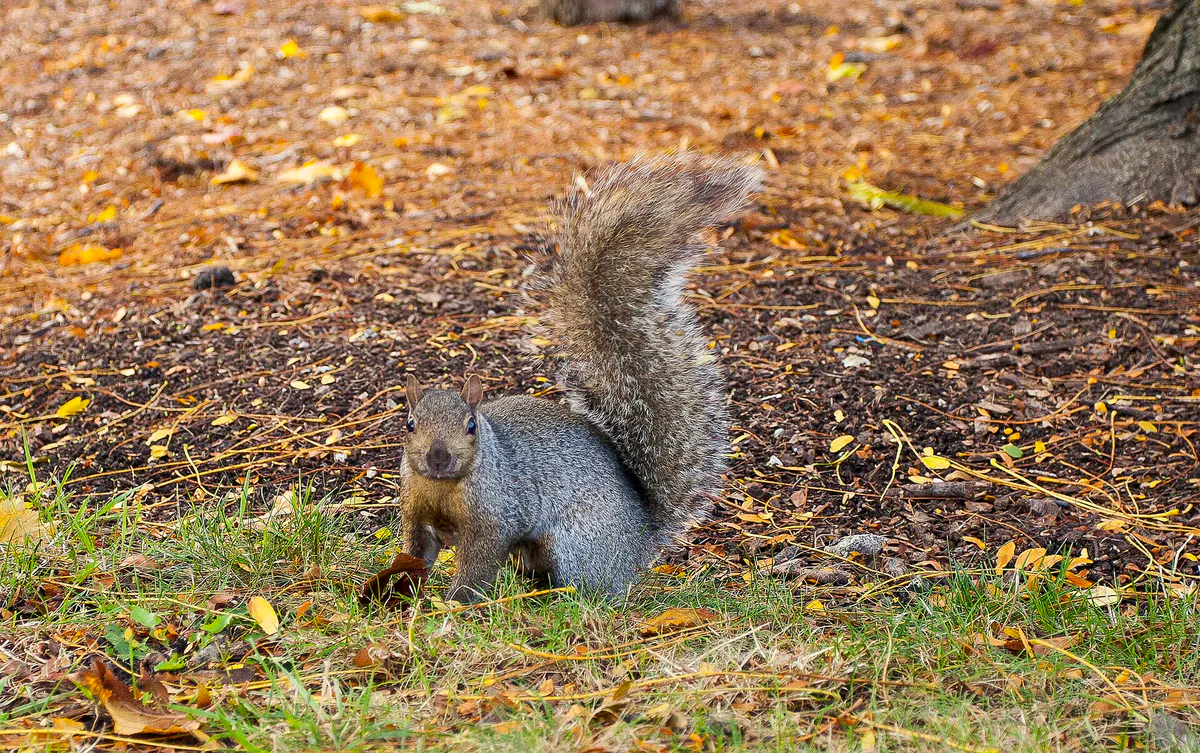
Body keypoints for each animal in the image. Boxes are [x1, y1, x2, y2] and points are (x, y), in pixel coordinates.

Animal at [400, 154, 762, 602]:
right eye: (409, 424)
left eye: (471, 426)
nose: (438, 457)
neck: (442, 486)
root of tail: (640, 541)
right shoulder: (416, 515)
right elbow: (417, 552)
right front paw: (401, 590)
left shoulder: (495, 518)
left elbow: (479, 565)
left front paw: (456, 603)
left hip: (574, 547)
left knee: (588, 589)